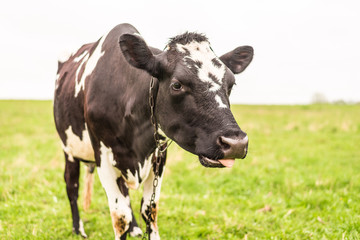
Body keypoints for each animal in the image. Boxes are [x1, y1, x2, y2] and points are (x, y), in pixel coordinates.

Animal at [53, 23, 253, 240]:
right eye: (177, 84)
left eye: (231, 85)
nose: (236, 143)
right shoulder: (103, 156)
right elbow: (120, 217)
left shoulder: (159, 154)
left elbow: (149, 209)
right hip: (69, 149)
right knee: (72, 186)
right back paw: (78, 228)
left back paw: (135, 228)